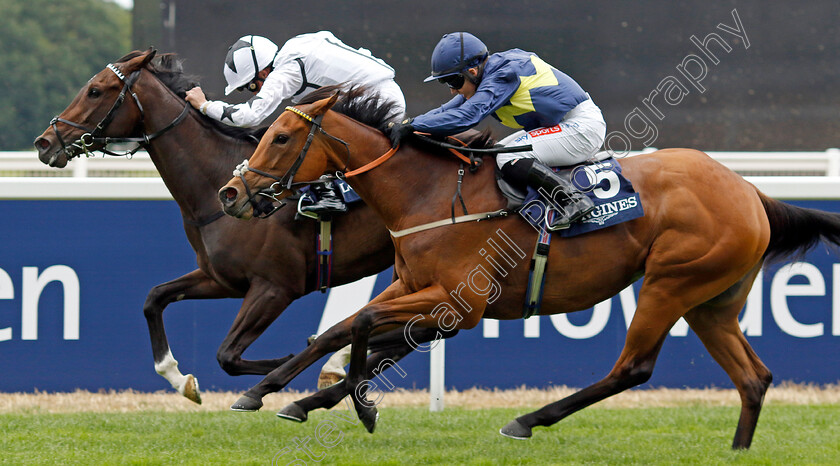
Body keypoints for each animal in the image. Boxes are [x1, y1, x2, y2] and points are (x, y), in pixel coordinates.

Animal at [33, 49, 400, 402]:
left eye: (95, 90)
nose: (43, 142)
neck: (215, 191)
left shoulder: (275, 288)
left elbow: (228, 356)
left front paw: (292, 361)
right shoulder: (222, 279)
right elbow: (155, 299)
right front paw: (181, 380)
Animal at [220, 86, 840, 448]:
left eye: (280, 136)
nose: (231, 194)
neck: (427, 193)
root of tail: (749, 191)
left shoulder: (460, 302)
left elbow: (364, 328)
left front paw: (354, 401)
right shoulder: (415, 286)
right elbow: (343, 329)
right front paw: (282, 392)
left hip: (671, 282)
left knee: (632, 369)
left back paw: (528, 420)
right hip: (712, 300)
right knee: (753, 377)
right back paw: (737, 451)